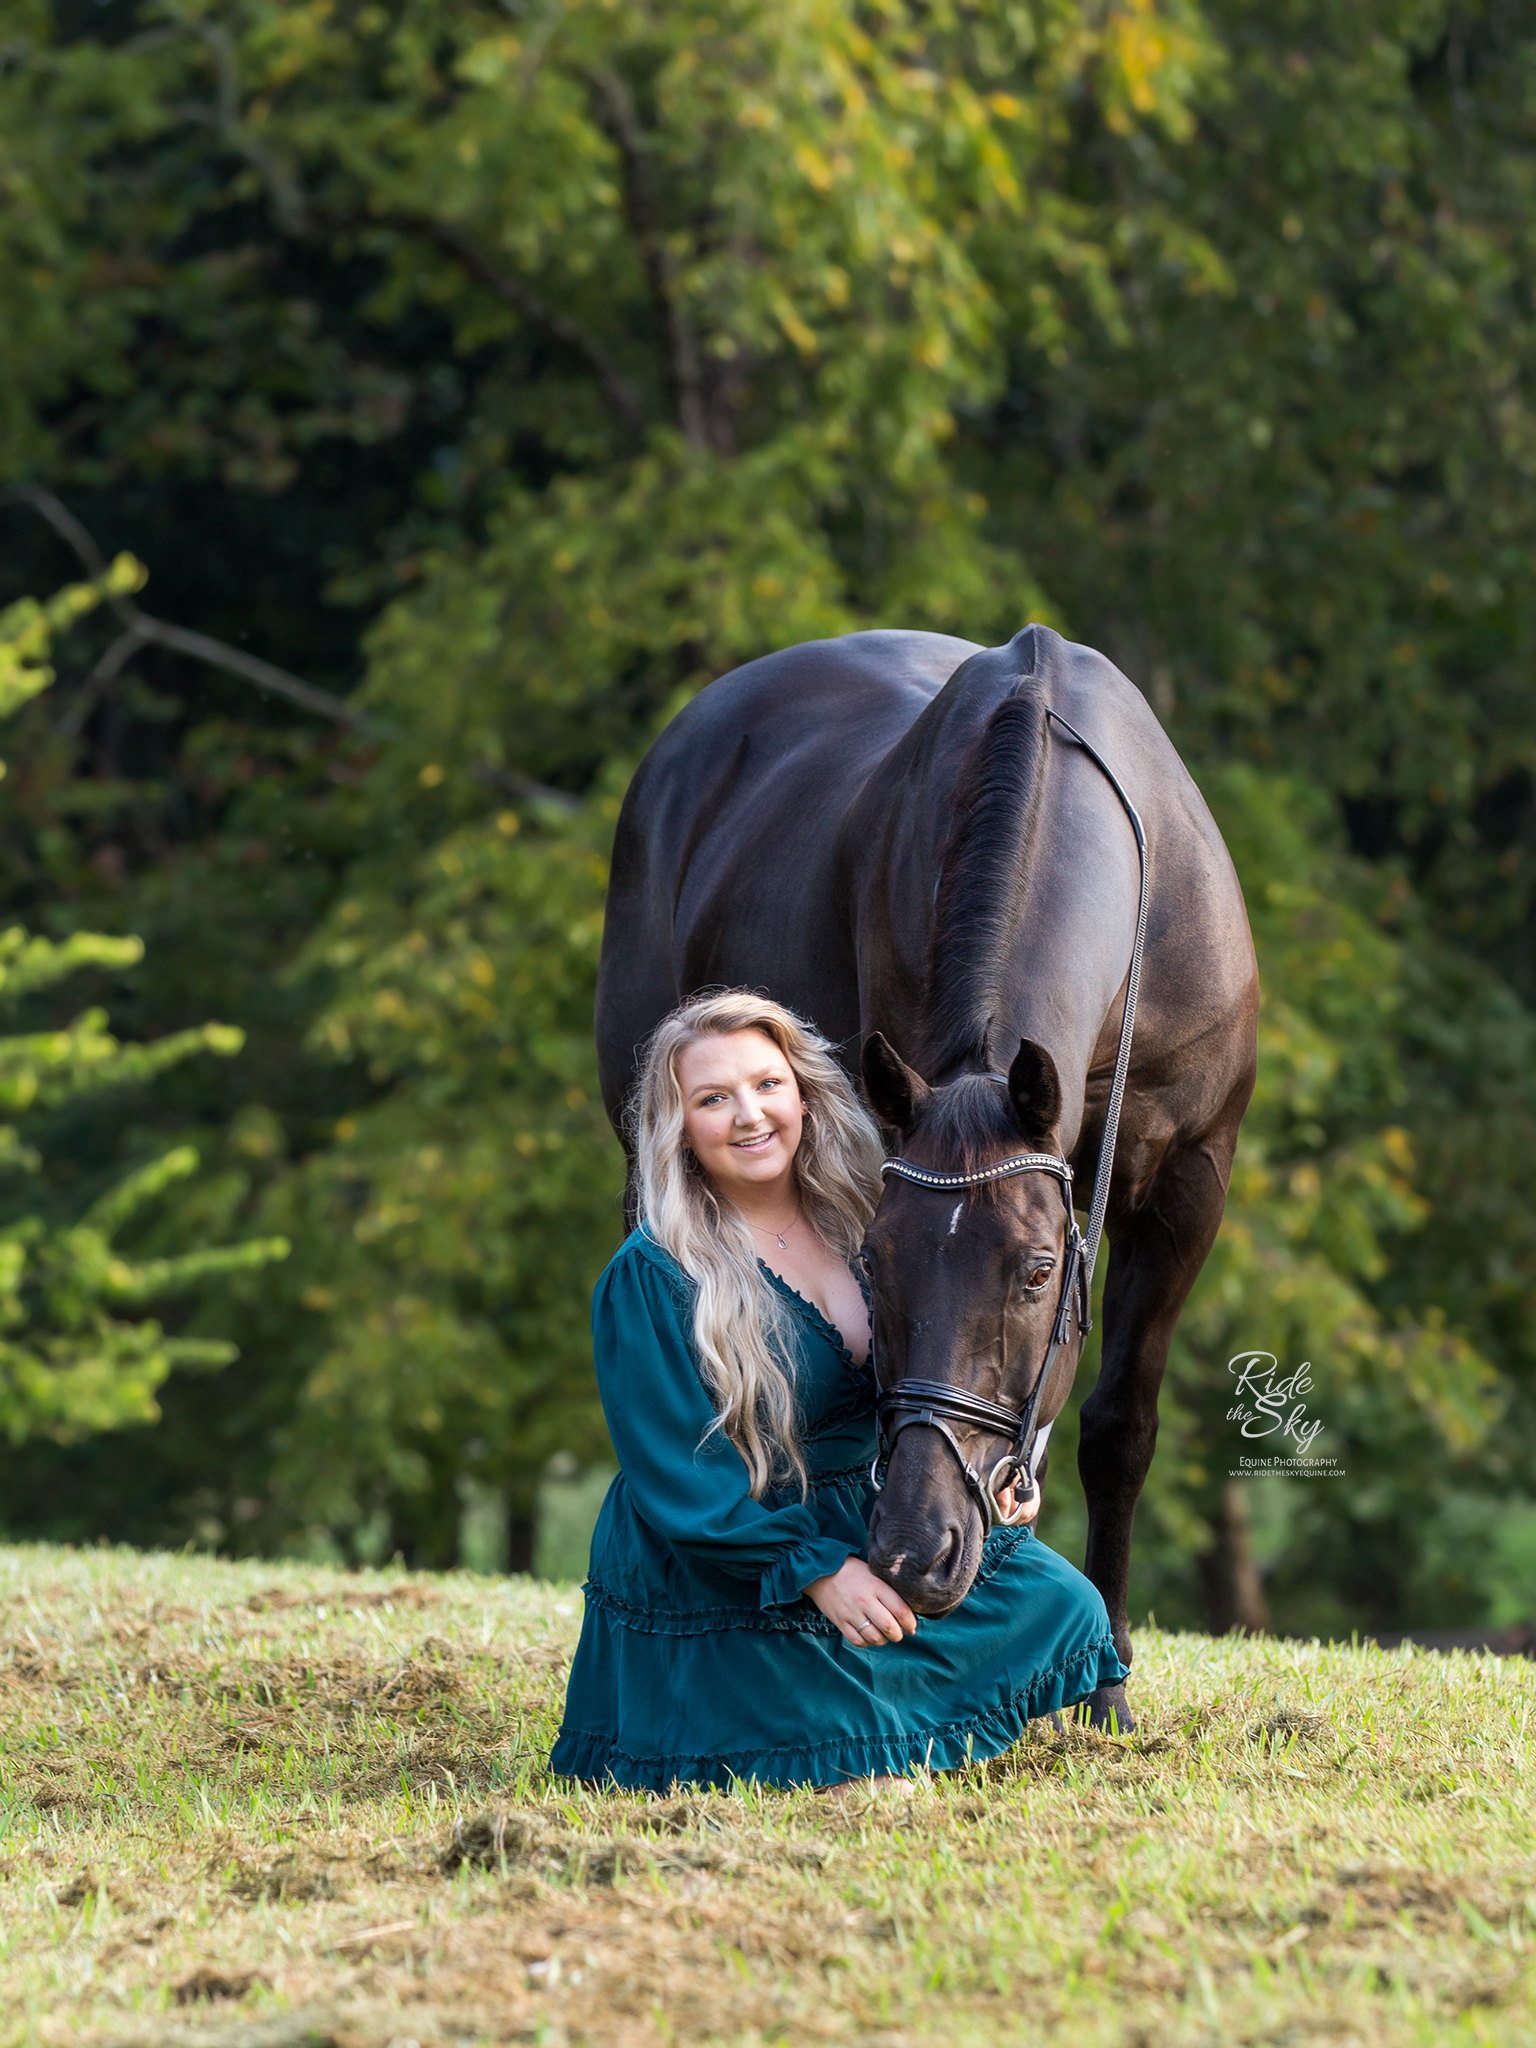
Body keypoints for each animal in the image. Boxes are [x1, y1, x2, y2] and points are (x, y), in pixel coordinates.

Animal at [593, 622, 1253, 1728]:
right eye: (874, 1266)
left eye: (1037, 1272)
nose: (911, 1550)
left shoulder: (1189, 1184)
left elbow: (1120, 1425)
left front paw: (1108, 1680)